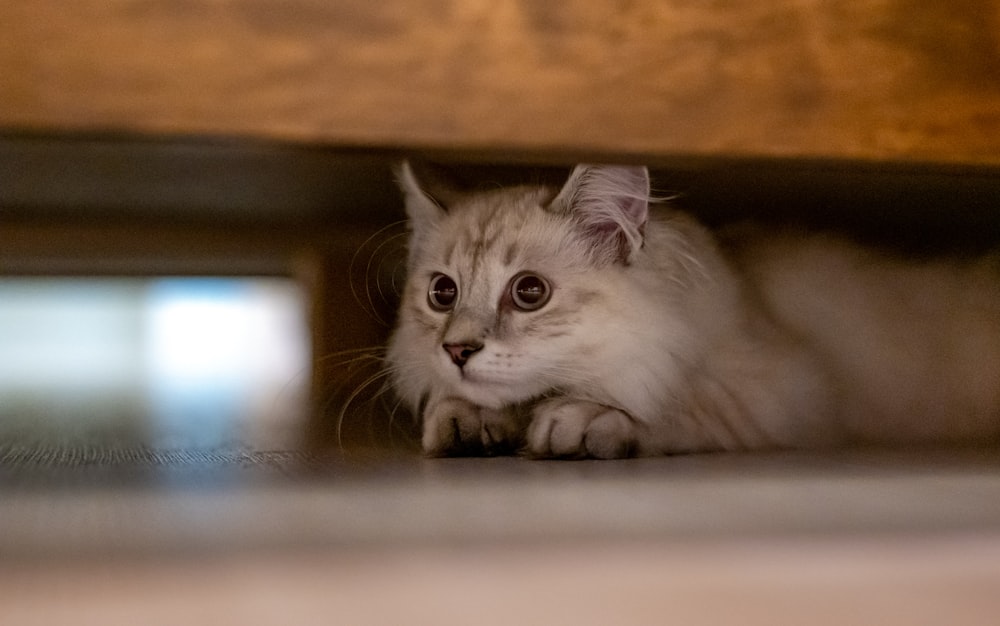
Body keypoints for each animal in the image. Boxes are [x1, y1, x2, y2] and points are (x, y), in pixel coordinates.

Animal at [384, 158, 1000, 456]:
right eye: (442, 293)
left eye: (529, 292)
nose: (456, 350)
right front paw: (467, 419)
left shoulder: (790, 388)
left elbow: (674, 404)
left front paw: (583, 419)